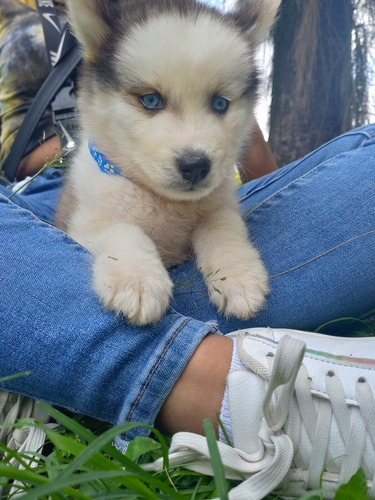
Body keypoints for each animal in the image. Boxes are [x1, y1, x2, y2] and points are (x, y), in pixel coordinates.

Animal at [55, 0, 280, 326]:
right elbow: (122, 230)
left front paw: (238, 276)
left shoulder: (220, 204)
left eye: (220, 103)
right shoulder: (83, 222)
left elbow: (222, 225)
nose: (195, 165)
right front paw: (137, 279)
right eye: (150, 100)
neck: (164, 202)